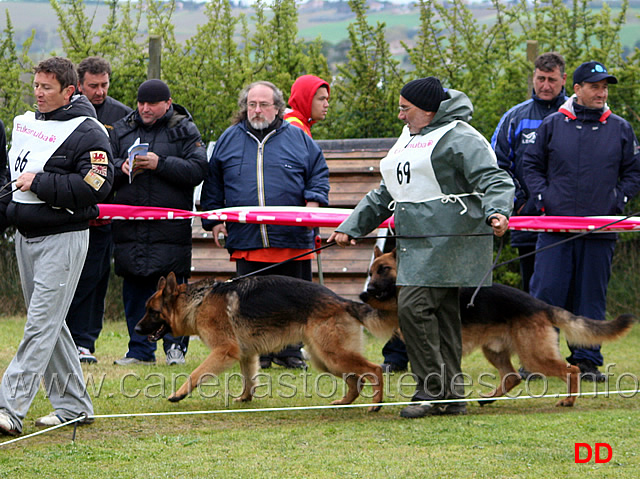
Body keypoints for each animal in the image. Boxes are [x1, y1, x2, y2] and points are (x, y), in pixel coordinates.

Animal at [136, 274, 396, 412]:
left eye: (152, 311)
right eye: (146, 309)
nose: (137, 329)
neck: (198, 302)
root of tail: (342, 301)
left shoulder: (224, 351)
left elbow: (195, 374)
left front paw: (178, 394)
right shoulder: (245, 354)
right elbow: (249, 378)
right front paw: (245, 398)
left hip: (333, 355)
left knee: (373, 369)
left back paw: (376, 404)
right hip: (325, 360)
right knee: (355, 380)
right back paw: (344, 402)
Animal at [360, 248, 636, 408]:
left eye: (384, 270)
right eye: (371, 272)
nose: (365, 293)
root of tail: (541, 305)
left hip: (533, 355)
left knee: (572, 369)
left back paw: (569, 400)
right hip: (495, 351)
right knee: (513, 376)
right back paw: (488, 398)